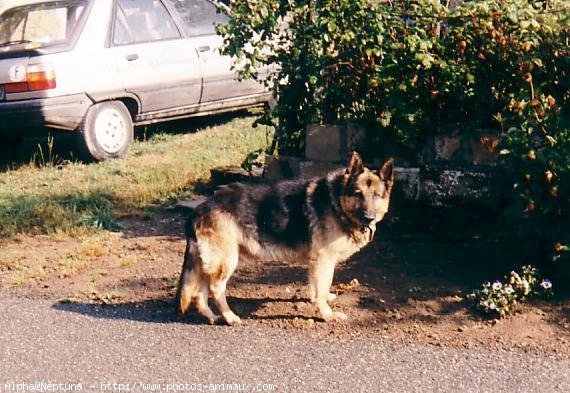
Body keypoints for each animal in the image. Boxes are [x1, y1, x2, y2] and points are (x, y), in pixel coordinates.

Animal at [175, 152, 392, 324]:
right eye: (358, 193)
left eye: (376, 195)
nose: (369, 217)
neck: (336, 201)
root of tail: (201, 208)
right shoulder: (324, 260)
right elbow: (322, 287)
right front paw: (326, 314)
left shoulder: (316, 263)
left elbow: (316, 288)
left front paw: (317, 301)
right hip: (226, 261)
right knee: (215, 289)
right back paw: (228, 316)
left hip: (211, 263)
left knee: (199, 294)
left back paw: (212, 317)